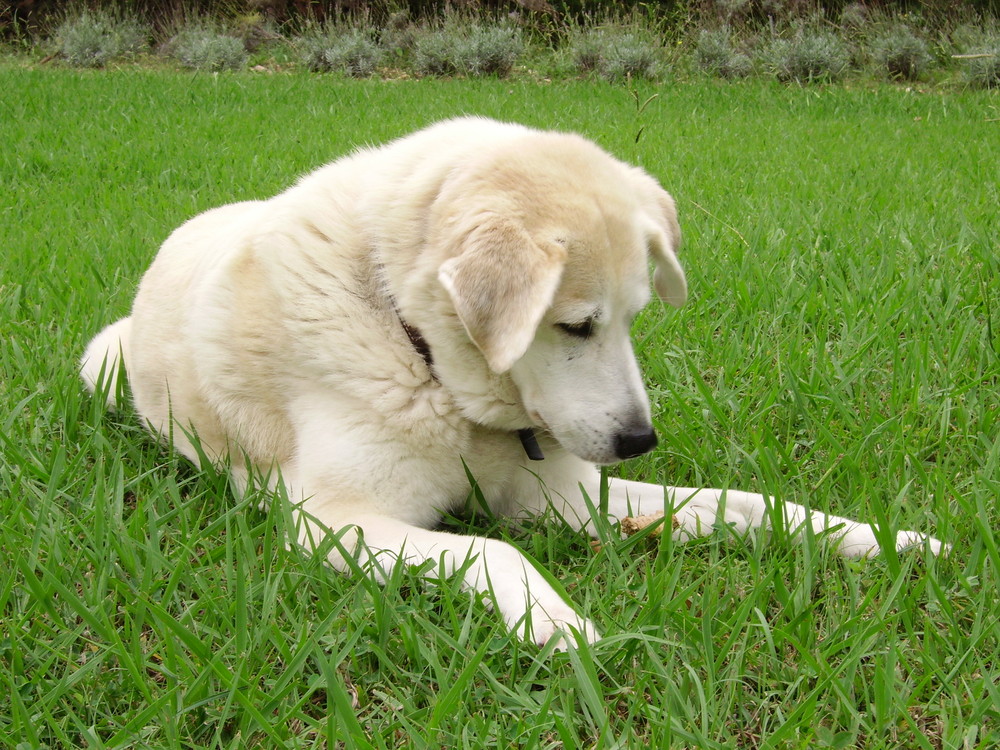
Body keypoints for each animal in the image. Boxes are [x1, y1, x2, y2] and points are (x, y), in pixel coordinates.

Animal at [80, 117, 944, 648]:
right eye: (576, 327)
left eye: (634, 318)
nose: (639, 440)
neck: (417, 348)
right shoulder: (334, 520)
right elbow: (496, 554)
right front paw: (562, 629)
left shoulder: (566, 496)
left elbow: (752, 505)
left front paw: (884, 539)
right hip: (102, 365)